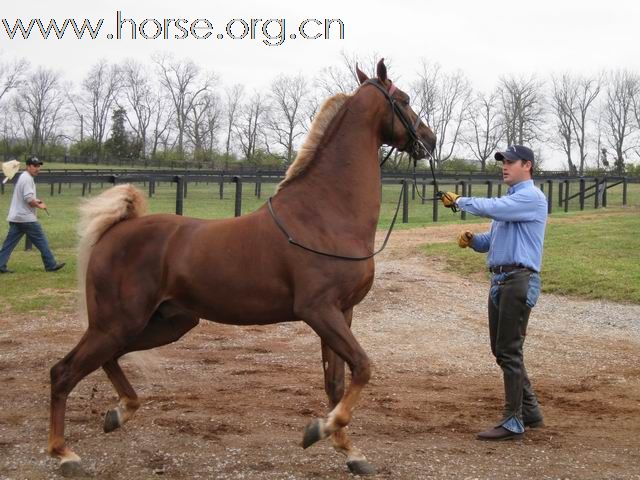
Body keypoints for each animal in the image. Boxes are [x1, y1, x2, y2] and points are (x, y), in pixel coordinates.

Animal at [48, 61, 436, 476]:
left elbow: (334, 383)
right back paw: (64, 454)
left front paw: (351, 452)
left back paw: (118, 414)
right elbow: (362, 367)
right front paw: (317, 430)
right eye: (403, 100)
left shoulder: (342, 312)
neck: (325, 214)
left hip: (165, 323)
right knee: (64, 372)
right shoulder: (319, 311)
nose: (429, 141)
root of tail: (116, 229)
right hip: (116, 324)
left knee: (110, 358)